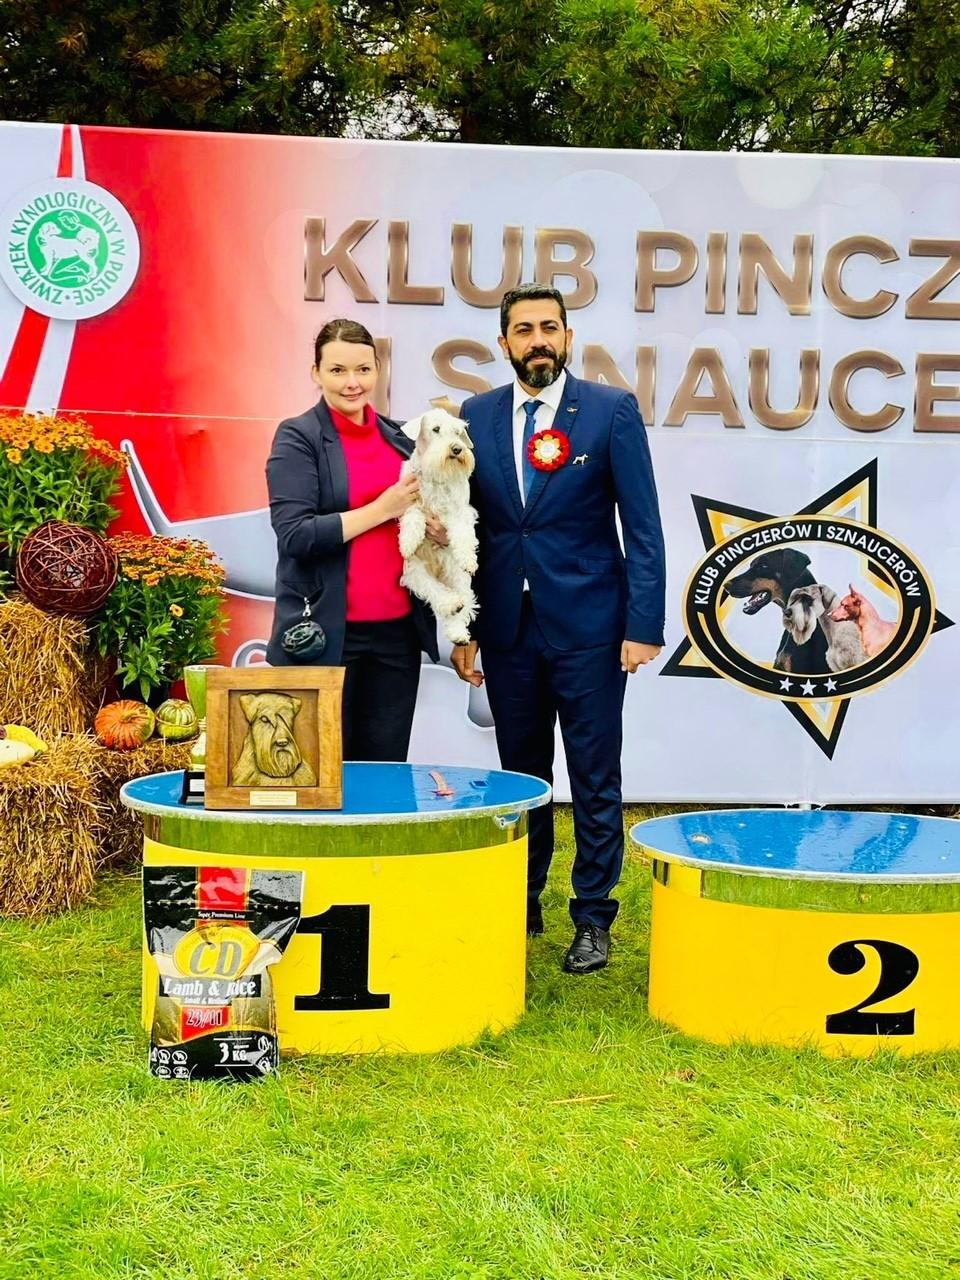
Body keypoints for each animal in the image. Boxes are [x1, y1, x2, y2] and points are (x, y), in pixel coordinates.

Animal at [398, 408, 478, 646]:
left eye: (458, 432)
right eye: (435, 429)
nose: (457, 448)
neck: (435, 476)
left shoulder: (461, 511)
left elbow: (461, 532)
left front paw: (469, 559)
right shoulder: (408, 501)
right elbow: (414, 516)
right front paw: (408, 542)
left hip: (456, 575)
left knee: (462, 603)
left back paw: (458, 632)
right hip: (415, 572)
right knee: (436, 592)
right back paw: (451, 605)